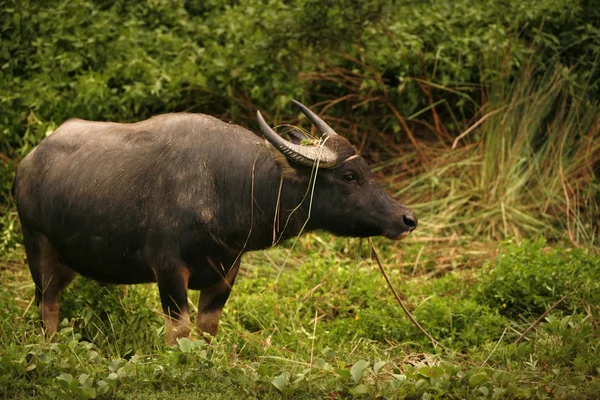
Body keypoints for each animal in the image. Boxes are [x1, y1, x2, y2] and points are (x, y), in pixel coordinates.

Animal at [14, 101, 418, 344]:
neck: (227, 185)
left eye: (366, 169)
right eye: (350, 176)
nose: (406, 218)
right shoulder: (168, 270)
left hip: (68, 262)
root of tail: (27, 163)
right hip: (37, 248)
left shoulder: (227, 270)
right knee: (47, 305)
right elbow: (180, 331)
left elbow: (208, 327)